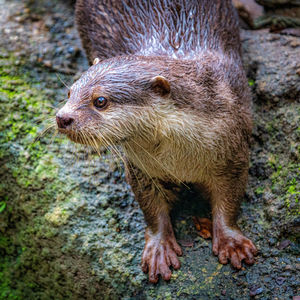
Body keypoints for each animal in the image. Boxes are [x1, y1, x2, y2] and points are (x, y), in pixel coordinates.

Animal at [56, 0, 258, 282]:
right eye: (70, 93)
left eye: (100, 101)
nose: (62, 117)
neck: (179, 159)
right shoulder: (140, 169)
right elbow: (151, 208)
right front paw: (159, 249)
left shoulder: (234, 152)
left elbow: (230, 199)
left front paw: (231, 242)